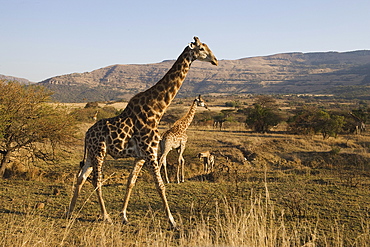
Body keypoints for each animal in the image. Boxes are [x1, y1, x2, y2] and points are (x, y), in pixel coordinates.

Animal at [66, 35, 217, 229]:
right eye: (201, 49)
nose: (215, 60)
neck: (157, 110)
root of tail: (86, 134)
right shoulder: (150, 152)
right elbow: (160, 185)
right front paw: (172, 221)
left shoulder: (141, 156)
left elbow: (131, 182)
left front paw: (123, 216)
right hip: (99, 152)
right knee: (96, 180)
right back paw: (105, 216)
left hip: (92, 154)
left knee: (81, 177)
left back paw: (70, 212)